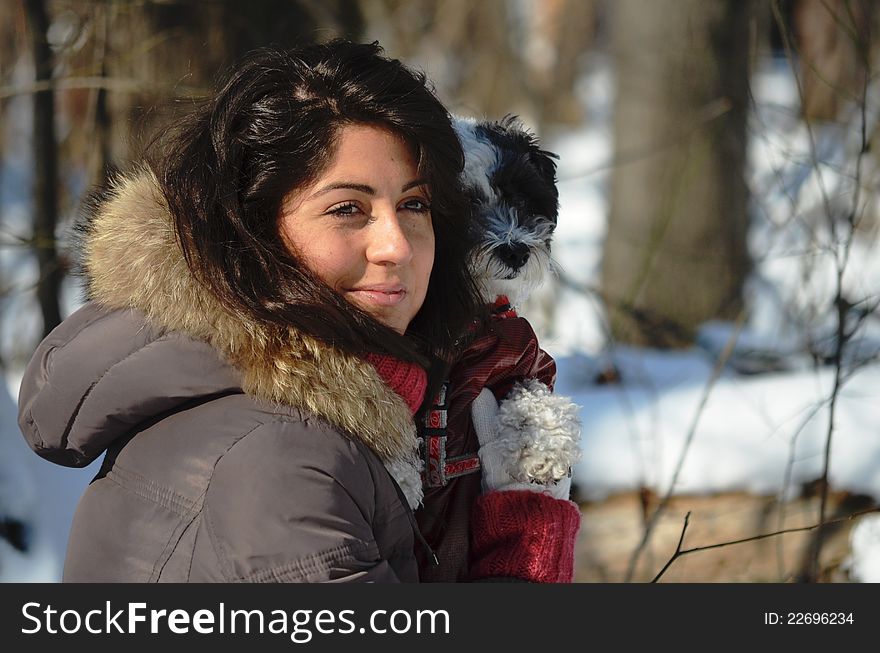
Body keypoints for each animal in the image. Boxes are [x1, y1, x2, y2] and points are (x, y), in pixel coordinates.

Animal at [450, 117, 580, 492]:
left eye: (520, 198)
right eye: (463, 203)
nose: (516, 252)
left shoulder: (520, 359)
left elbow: (532, 391)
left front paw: (545, 448)